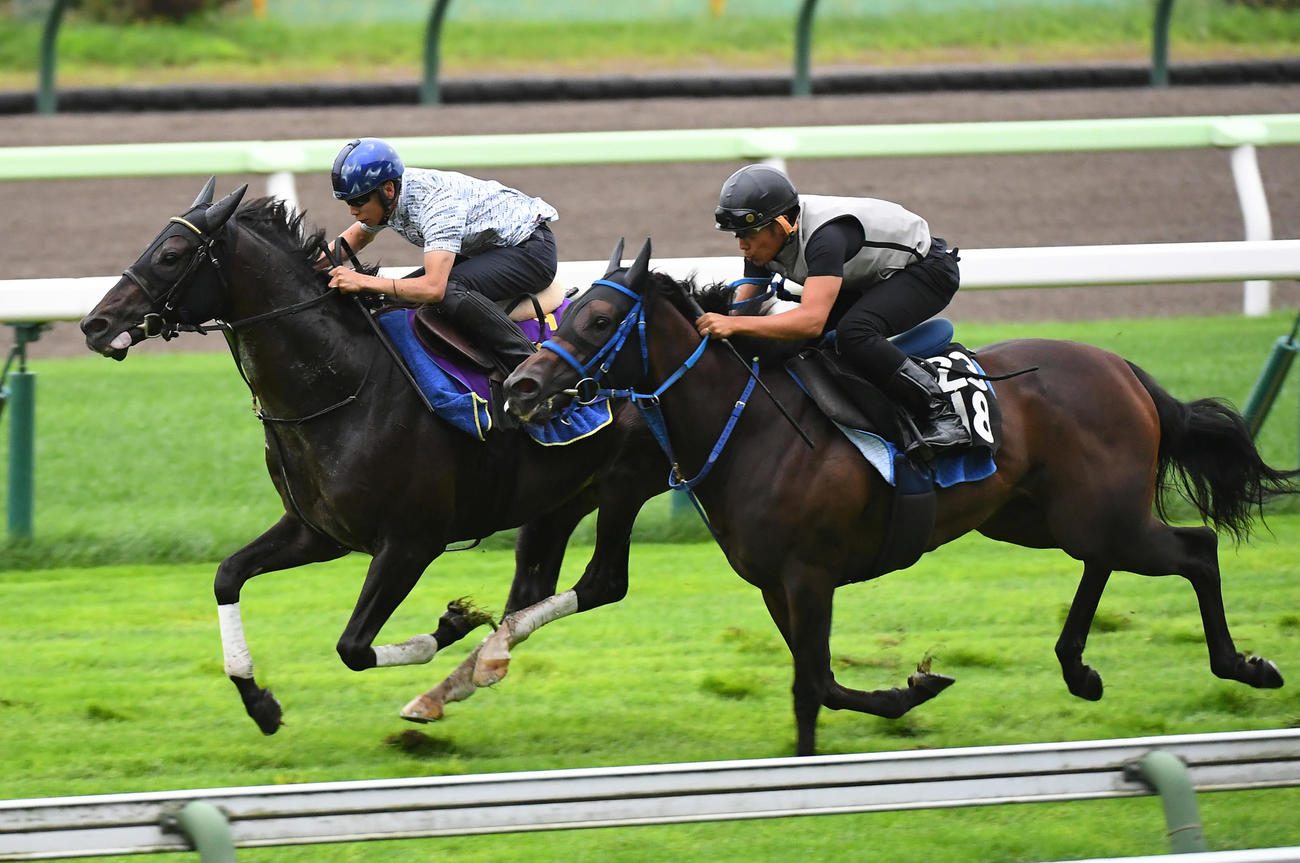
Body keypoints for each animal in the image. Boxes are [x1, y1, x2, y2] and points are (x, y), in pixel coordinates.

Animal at [78, 180, 669, 735]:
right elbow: (227, 576)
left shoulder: (410, 543)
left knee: (602, 583)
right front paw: (259, 702)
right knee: (530, 593)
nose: (95, 325)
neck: (345, 385)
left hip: (626, 484)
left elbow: (353, 648)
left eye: (172, 254)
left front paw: (452, 624)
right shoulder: (317, 532)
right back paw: (456, 683)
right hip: (560, 499)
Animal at [499, 238, 1296, 756]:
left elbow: (813, 684)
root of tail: (1123, 368)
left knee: (1196, 548)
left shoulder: (810, 574)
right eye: (568, 309)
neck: (751, 424)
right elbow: (817, 681)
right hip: (1043, 516)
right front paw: (900, 697)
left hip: (1096, 513)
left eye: (601, 321)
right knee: (1104, 558)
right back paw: (1078, 667)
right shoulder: (776, 583)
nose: (521, 386)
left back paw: (1242, 665)